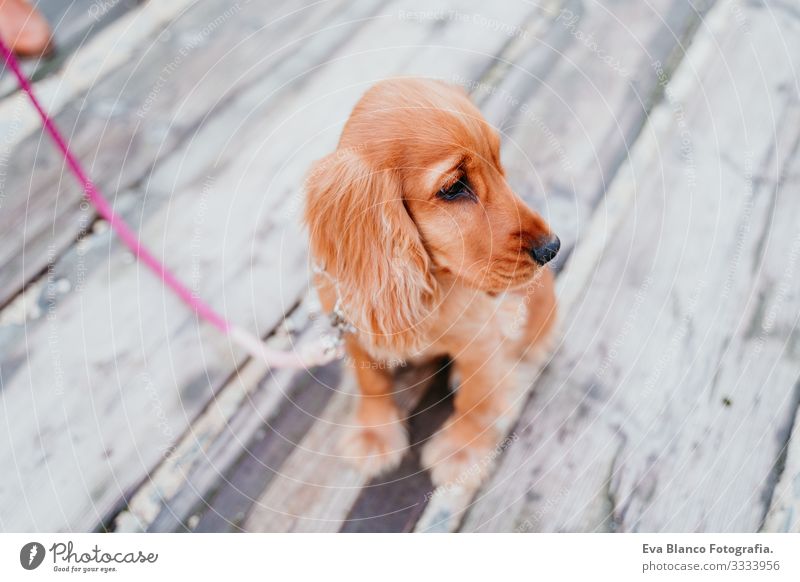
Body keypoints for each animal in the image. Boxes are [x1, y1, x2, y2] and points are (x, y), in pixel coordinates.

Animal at [304, 77, 560, 488]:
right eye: (454, 187)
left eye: (499, 165)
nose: (552, 248)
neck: (430, 281)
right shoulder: (355, 330)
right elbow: (370, 383)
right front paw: (374, 435)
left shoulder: (482, 338)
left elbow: (475, 399)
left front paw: (462, 452)